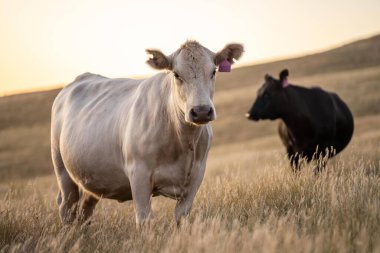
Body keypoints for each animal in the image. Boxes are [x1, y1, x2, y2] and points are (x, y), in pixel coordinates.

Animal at [51, 41, 243, 225]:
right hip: (63, 171)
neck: (182, 141)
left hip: (90, 179)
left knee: (85, 211)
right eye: (176, 74)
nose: (201, 111)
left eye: (213, 71)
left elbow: (181, 217)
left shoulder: (196, 175)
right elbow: (144, 220)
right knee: (66, 207)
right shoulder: (138, 174)